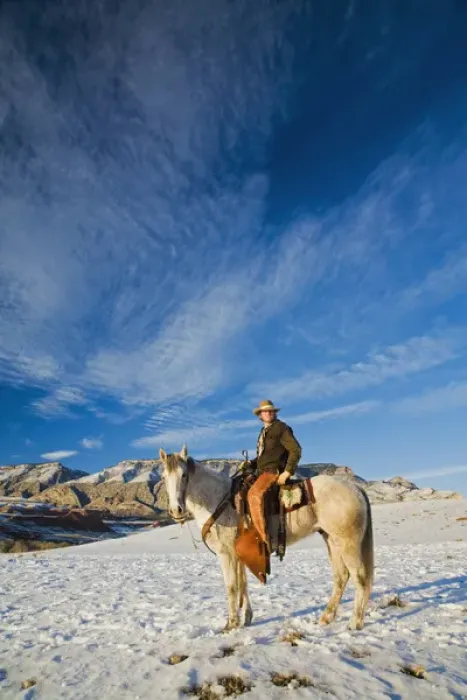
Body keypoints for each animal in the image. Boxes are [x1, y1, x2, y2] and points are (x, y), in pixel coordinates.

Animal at [159, 446, 374, 632]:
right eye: (164, 477)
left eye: (184, 475)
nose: (176, 510)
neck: (218, 500)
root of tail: (355, 487)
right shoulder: (238, 555)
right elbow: (243, 585)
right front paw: (246, 618)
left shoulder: (226, 554)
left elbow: (232, 587)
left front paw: (231, 624)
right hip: (331, 540)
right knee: (341, 576)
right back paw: (326, 617)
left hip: (348, 543)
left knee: (360, 577)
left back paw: (355, 622)